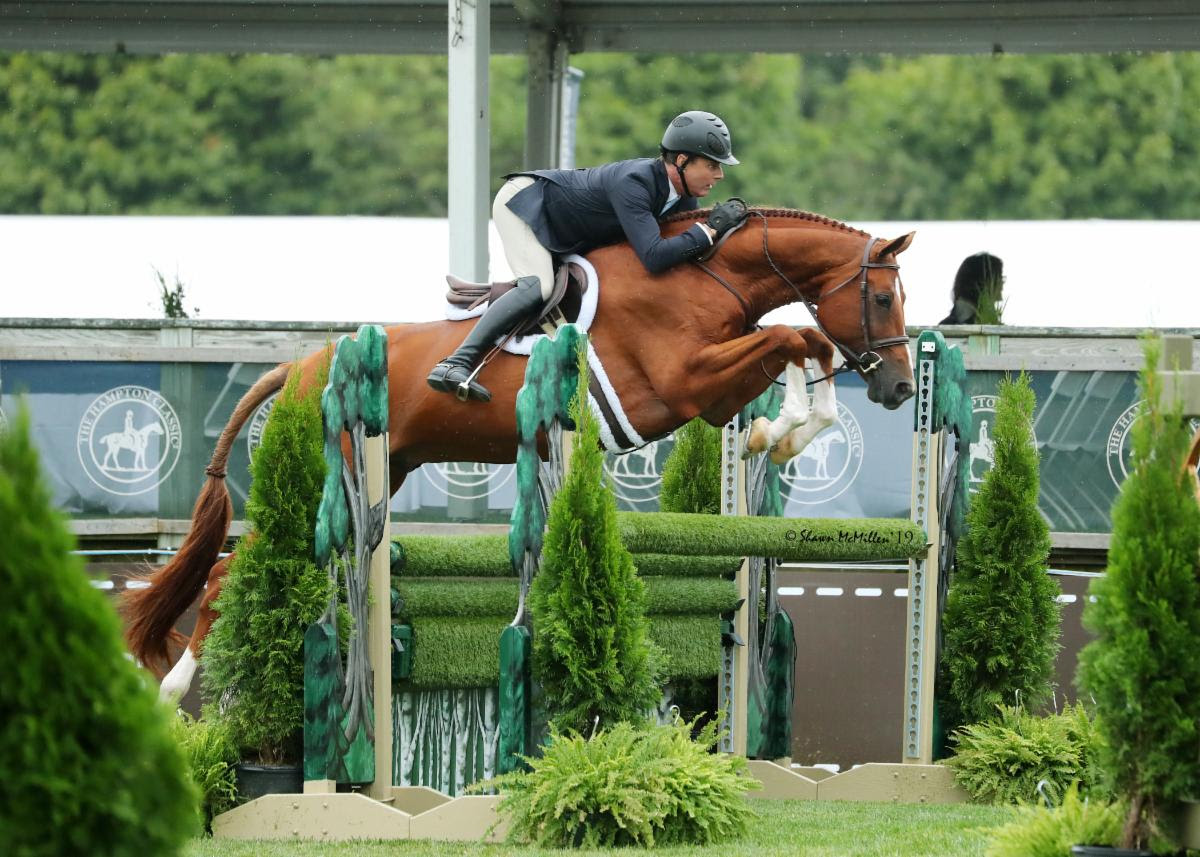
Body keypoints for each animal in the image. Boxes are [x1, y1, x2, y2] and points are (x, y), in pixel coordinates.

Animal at [126, 206, 912, 700]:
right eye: (881, 298)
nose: (902, 386)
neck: (697, 276)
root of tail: (298, 367)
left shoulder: (712, 393)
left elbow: (799, 344)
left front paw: (778, 434)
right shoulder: (681, 382)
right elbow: (793, 337)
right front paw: (780, 431)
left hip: (381, 473)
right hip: (333, 475)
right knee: (225, 574)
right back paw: (175, 690)